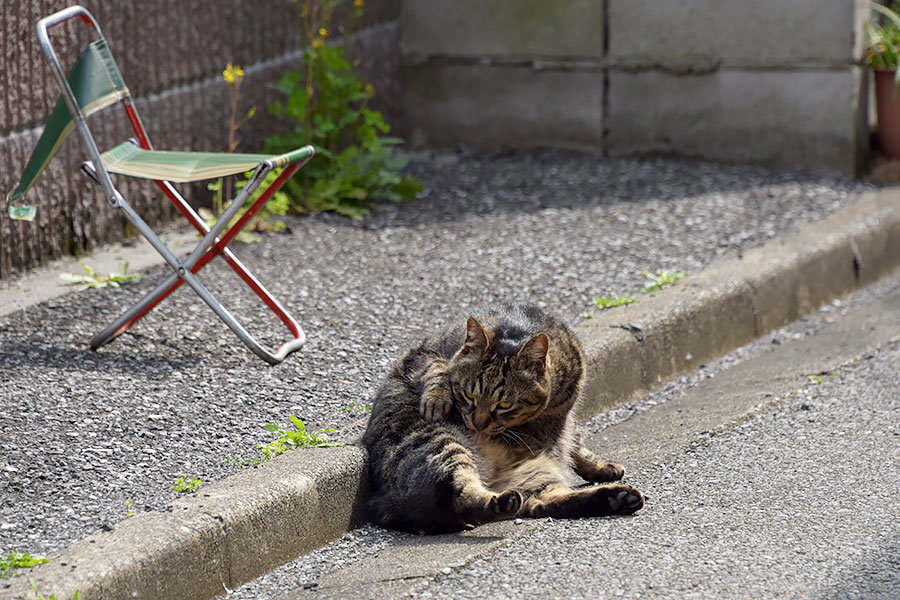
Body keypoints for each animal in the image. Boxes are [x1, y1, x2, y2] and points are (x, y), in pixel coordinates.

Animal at [362, 304, 644, 536]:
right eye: (468, 395)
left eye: (505, 404)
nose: (477, 424)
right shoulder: (423, 351)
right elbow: (438, 368)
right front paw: (437, 397)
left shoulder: (567, 407)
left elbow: (576, 441)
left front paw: (599, 465)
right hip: (443, 445)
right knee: (460, 498)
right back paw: (500, 502)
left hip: (536, 477)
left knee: (545, 503)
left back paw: (618, 498)